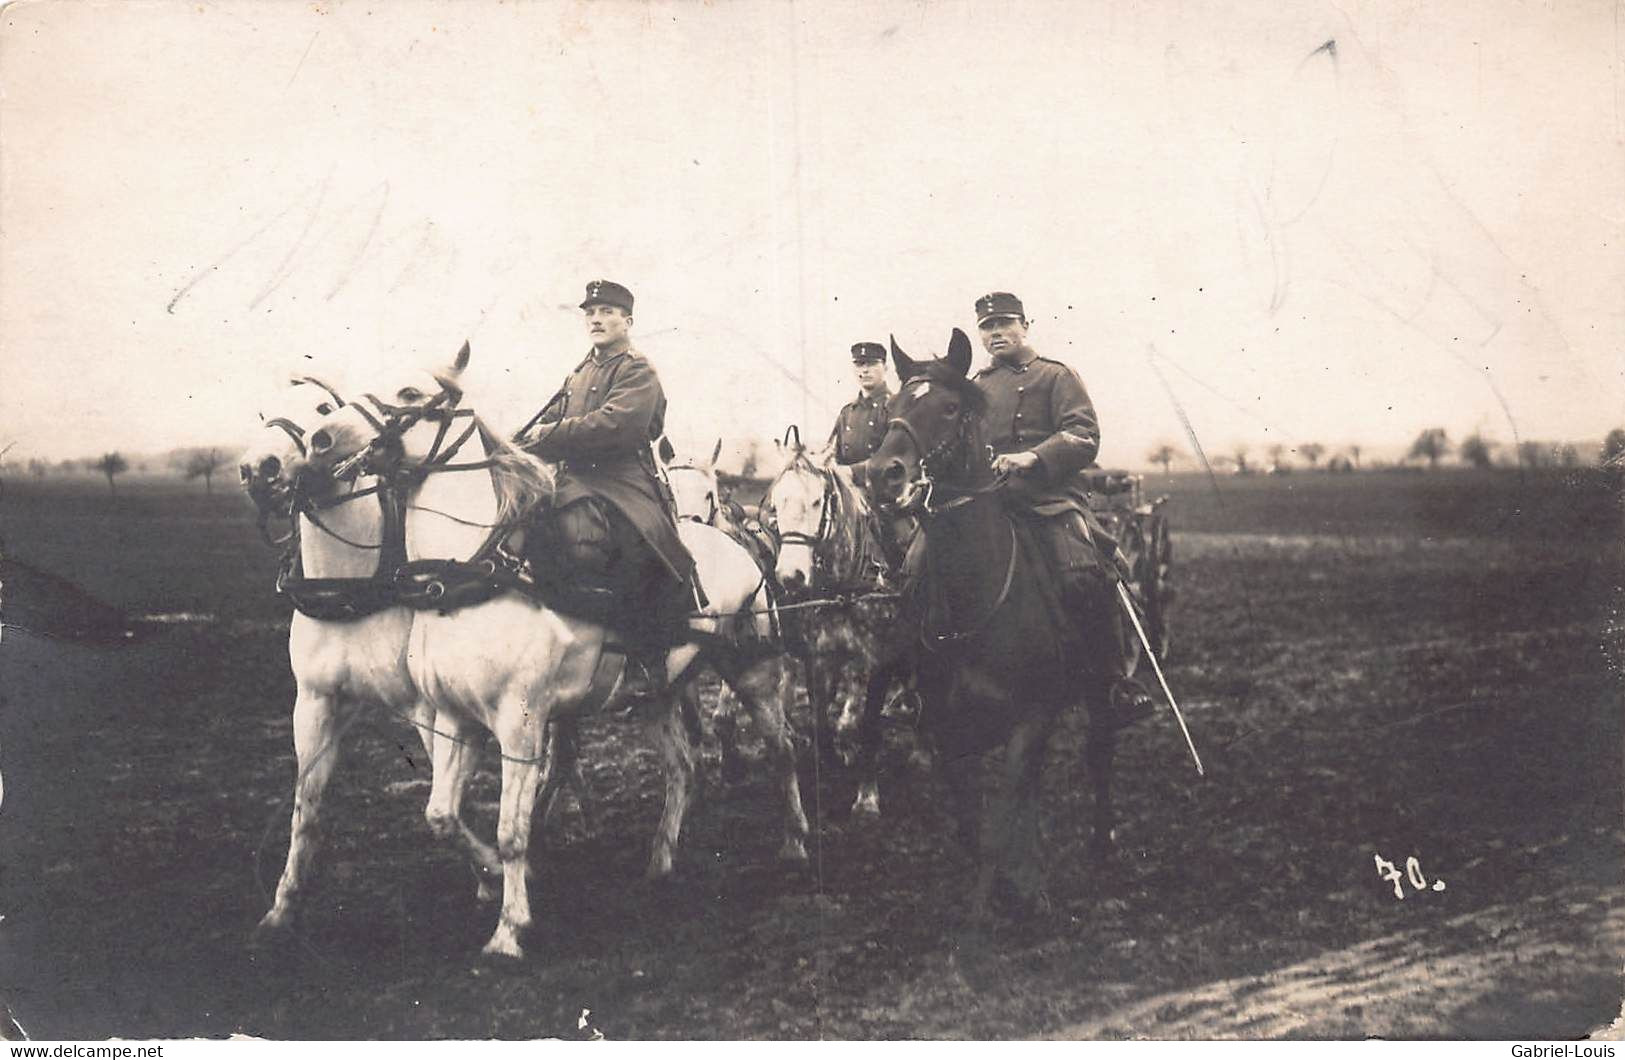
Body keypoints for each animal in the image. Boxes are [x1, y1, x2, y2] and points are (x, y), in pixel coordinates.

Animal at [290, 347, 812, 962]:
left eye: (411, 394)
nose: (321, 439)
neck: (468, 577)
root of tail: (739, 546)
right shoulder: (455, 716)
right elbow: (441, 814)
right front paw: (493, 880)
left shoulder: (520, 723)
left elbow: (511, 831)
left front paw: (510, 928)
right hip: (656, 694)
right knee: (682, 767)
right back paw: (660, 861)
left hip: (753, 670)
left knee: (784, 750)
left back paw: (796, 844)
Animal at [871, 328, 1124, 916]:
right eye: (892, 408)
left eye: (948, 408)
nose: (881, 474)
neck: (976, 597)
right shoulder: (945, 728)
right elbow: (972, 823)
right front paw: (1018, 884)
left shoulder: (1031, 716)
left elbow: (999, 818)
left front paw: (994, 906)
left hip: (1097, 686)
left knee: (1099, 752)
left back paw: (1102, 846)